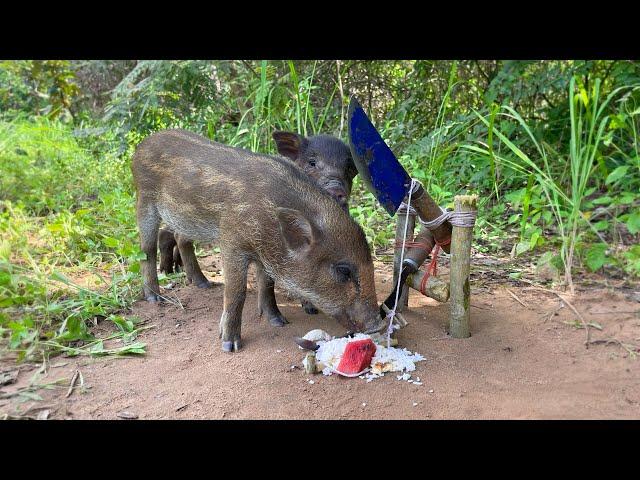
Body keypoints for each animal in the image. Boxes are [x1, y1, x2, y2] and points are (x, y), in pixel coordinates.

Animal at [131, 129, 384, 350]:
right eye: (343, 271)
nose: (377, 325)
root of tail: (140, 147)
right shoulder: (232, 242)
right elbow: (237, 292)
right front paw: (230, 344)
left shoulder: (265, 251)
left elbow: (266, 284)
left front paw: (279, 321)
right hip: (145, 200)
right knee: (147, 249)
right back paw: (154, 297)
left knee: (181, 239)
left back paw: (203, 284)